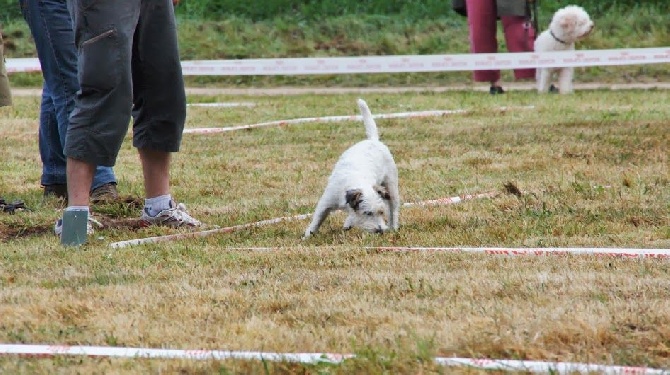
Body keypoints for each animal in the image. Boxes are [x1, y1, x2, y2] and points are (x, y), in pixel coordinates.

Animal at [304, 100, 400, 238]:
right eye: (368, 213)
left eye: (381, 212)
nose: (380, 230)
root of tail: (373, 140)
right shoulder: (326, 201)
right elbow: (317, 219)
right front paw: (307, 236)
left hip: (391, 186)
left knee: (394, 208)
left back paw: (394, 227)